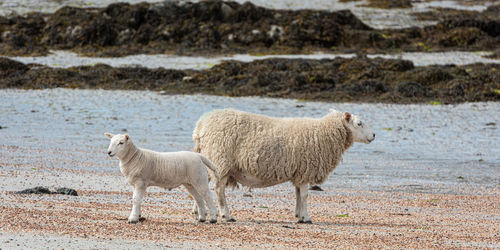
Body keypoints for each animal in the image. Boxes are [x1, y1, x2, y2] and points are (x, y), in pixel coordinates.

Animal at [193, 108, 376, 224]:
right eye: (359, 123)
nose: (374, 135)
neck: (324, 133)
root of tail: (201, 125)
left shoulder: (299, 173)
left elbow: (298, 194)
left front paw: (298, 215)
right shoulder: (305, 170)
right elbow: (305, 195)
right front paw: (306, 218)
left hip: (212, 160)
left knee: (204, 187)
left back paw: (198, 212)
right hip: (221, 160)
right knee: (218, 190)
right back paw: (227, 215)